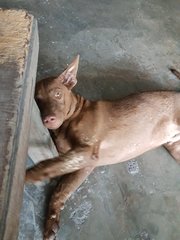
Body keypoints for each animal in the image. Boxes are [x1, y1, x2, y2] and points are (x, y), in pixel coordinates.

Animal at [25, 55, 180, 239]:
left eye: (57, 94)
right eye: (37, 100)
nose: (48, 119)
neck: (68, 122)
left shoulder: (87, 153)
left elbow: (51, 171)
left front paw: (27, 175)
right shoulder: (80, 161)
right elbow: (60, 187)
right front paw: (52, 220)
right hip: (175, 149)